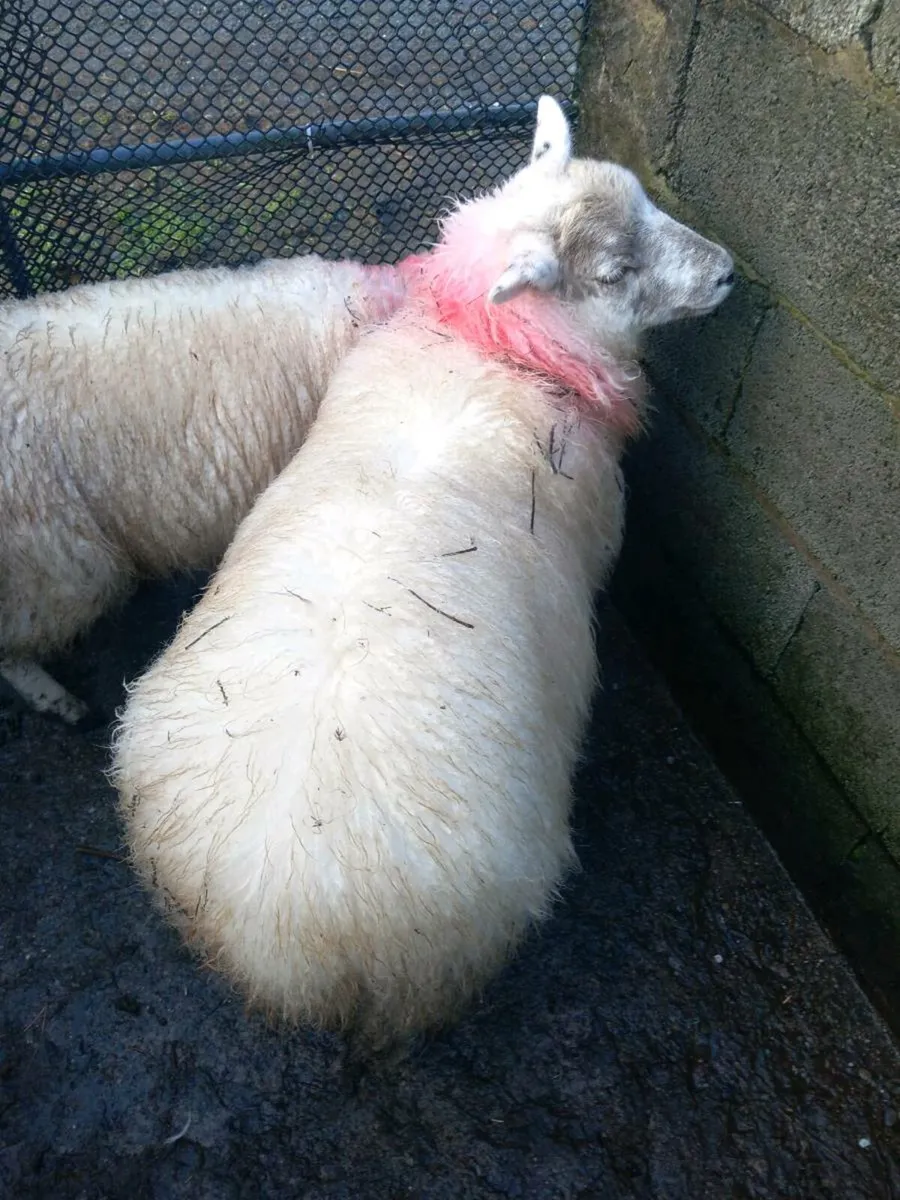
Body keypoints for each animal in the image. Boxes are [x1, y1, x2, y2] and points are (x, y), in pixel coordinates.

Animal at [112, 96, 734, 1053]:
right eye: (616, 268)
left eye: (645, 197)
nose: (730, 274)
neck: (489, 345)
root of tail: (283, 920)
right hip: (436, 967)